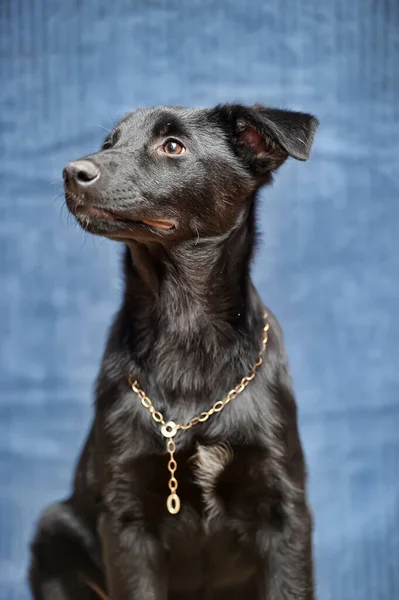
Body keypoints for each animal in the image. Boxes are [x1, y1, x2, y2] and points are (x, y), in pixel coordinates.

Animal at [29, 104, 318, 600]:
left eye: (172, 146)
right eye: (109, 143)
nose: (72, 172)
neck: (185, 326)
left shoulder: (285, 512)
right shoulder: (126, 519)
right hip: (54, 528)